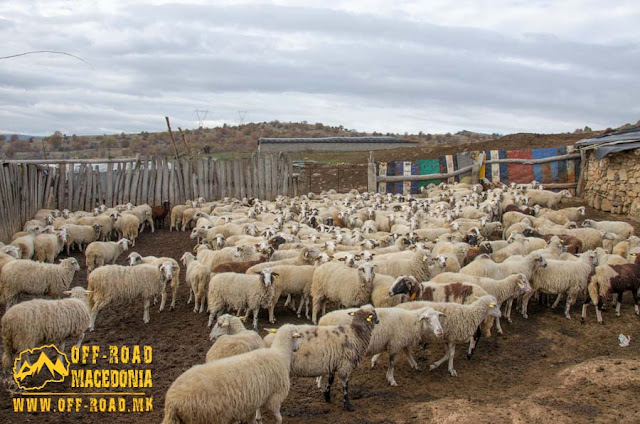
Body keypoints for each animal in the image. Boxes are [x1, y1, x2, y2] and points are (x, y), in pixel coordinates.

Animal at [160, 322, 300, 422]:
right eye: (297, 336)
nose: (298, 348)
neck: (280, 353)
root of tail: (171, 401)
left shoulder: (252, 404)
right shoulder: (275, 398)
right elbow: (279, 419)